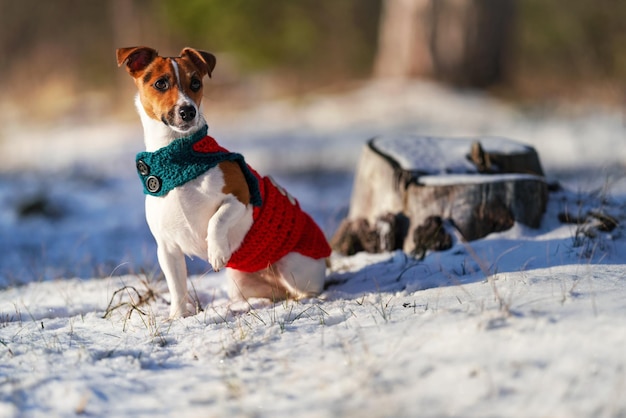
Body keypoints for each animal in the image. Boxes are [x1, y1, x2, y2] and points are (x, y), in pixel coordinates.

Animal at [117, 46, 332, 316]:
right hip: (240, 282)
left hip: (294, 268)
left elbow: (217, 219)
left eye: (196, 83)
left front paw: (216, 251)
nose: (188, 110)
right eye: (160, 83)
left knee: (304, 290)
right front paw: (178, 317)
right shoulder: (167, 248)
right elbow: (177, 287)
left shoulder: (242, 197)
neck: (178, 158)